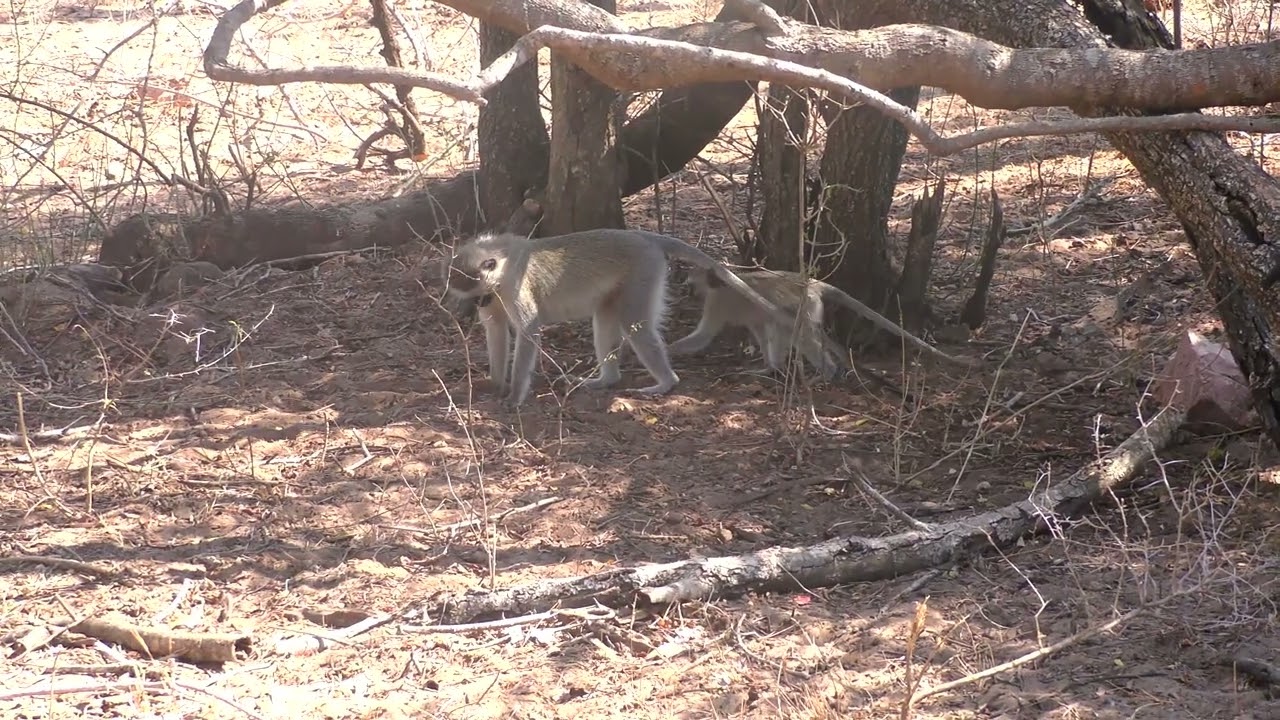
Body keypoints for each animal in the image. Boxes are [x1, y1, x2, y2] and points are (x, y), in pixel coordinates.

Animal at [442, 229, 801, 407]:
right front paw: (495, 383)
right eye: (474, 298)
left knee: (634, 324)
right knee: (604, 320)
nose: (477, 305)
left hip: (644, 271)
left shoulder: (515, 286)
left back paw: (665, 384)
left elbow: (529, 332)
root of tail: (646, 237)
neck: (501, 263)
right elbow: (496, 331)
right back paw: (606, 380)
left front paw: (515, 395)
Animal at [668, 267, 974, 378]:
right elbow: (761, 329)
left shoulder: (716, 304)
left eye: (691, 283)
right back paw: (775, 369)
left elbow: (703, 336)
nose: (686, 289)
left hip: (808, 306)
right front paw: (768, 366)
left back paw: (827, 373)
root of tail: (814, 284)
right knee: (781, 328)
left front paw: (667, 351)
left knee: (799, 334)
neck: (717, 284)